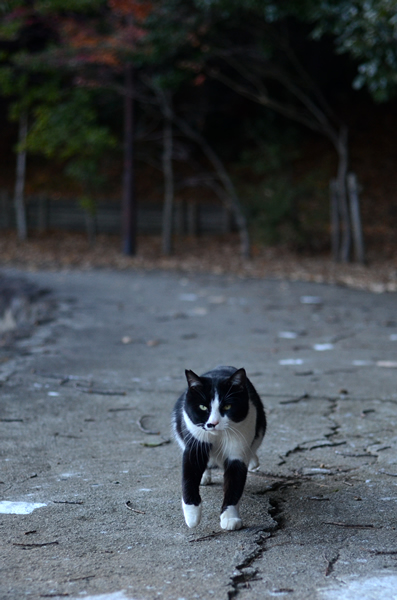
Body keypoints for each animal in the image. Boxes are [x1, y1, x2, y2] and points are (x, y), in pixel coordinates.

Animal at [172, 366, 264, 528]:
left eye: (227, 406)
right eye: (203, 407)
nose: (213, 423)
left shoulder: (238, 450)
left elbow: (234, 482)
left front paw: (230, 517)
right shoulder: (195, 443)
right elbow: (189, 476)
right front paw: (192, 516)